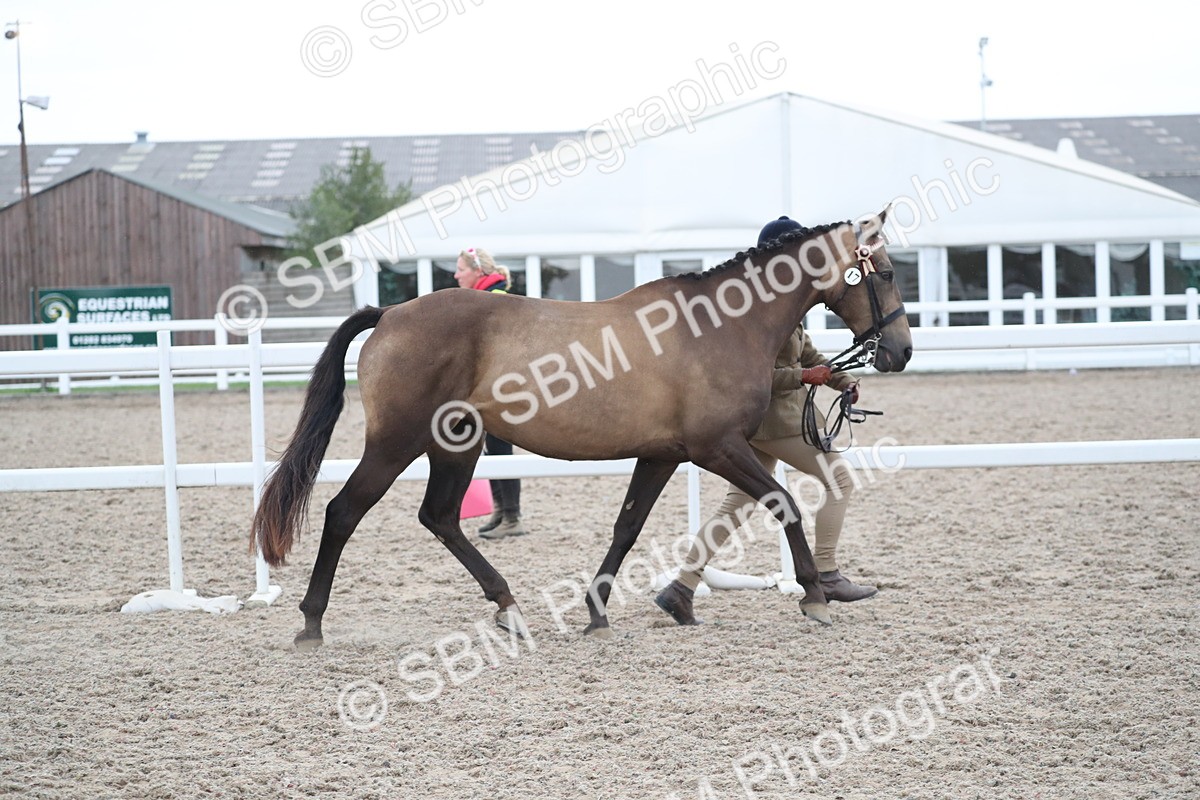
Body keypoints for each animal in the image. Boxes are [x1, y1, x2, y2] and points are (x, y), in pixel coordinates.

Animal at [252, 206, 912, 650]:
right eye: (882, 272)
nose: (900, 352)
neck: (720, 326)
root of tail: (389, 313)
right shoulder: (717, 448)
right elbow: (784, 504)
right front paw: (817, 597)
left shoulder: (663, 454)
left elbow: (626, 528)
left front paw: (598, 611)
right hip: (398, 444)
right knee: (344, 512)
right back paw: (311, 623)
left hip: (457, 445)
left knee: (439, 517)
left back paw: (509, 608)